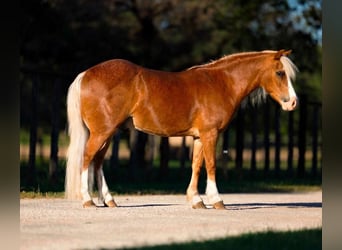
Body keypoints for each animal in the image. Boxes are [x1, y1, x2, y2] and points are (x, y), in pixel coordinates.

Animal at [65, 49, 298, 209]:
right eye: (280, 73)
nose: (293, 102)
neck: (222, 83)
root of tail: (85, 74)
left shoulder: (198, 137)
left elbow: (196, 166)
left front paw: (196, 201)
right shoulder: (210, 134)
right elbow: (211, 165)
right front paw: (216, 200)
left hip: (109, 133)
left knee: (97, 162)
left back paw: (109, 200)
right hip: (102, 133)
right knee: (87, 158)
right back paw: (88, 200)